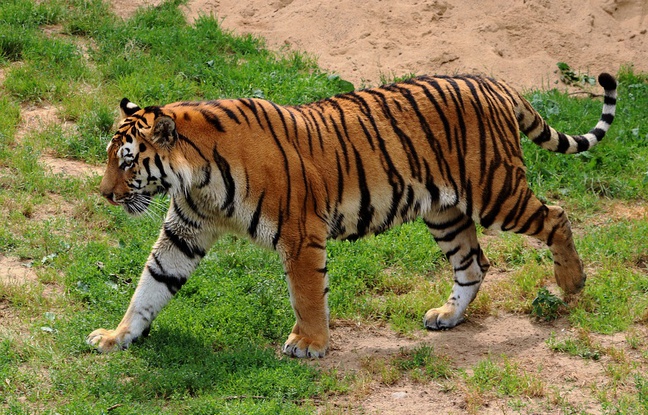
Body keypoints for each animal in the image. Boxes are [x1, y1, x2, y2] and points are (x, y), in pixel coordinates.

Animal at [86, 71, 616, 358]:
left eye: (127, 161)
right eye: (112, 158)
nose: (105, 194)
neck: (196, 179)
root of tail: (494, 82)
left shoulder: (299, 235)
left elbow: (306, 296)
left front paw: (310, 344)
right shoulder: (186, 231)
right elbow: (150, 286)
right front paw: (117, 336)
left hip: (495, 193)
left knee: (556, 215)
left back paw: (572, 282)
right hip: (445, 212)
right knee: (473, 265)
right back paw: (447, 316)